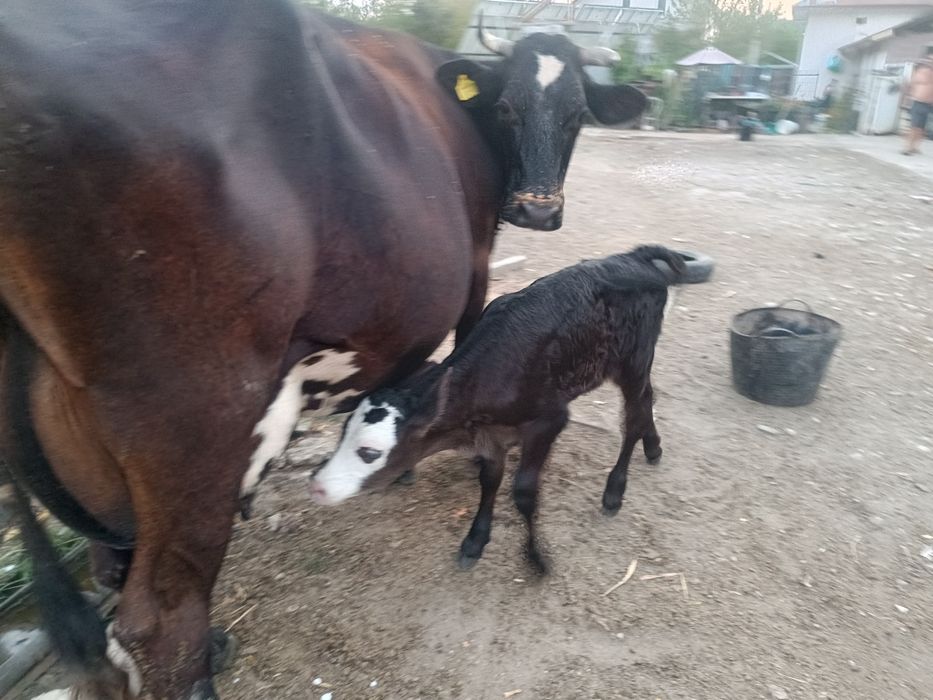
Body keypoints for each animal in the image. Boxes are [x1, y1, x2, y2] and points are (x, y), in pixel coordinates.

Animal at [0, 1, 646, 697]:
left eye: (577, 114)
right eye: (506, 108)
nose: (537, 211)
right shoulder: (475, 264)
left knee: (112, 574)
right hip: (194, 421)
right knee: (161, 625)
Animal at [310, 247, 685, 573]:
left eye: (369, 452)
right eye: (341, 435)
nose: (318, 486)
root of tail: (633, 257)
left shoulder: (549, 420)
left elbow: (523, 491)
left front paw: (536, 558)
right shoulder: (490, 434)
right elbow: (489, 480)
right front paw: (475, 541)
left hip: (632, 361)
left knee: (633, 416)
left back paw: (614, 491)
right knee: (648, 399)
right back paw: (653, 447)